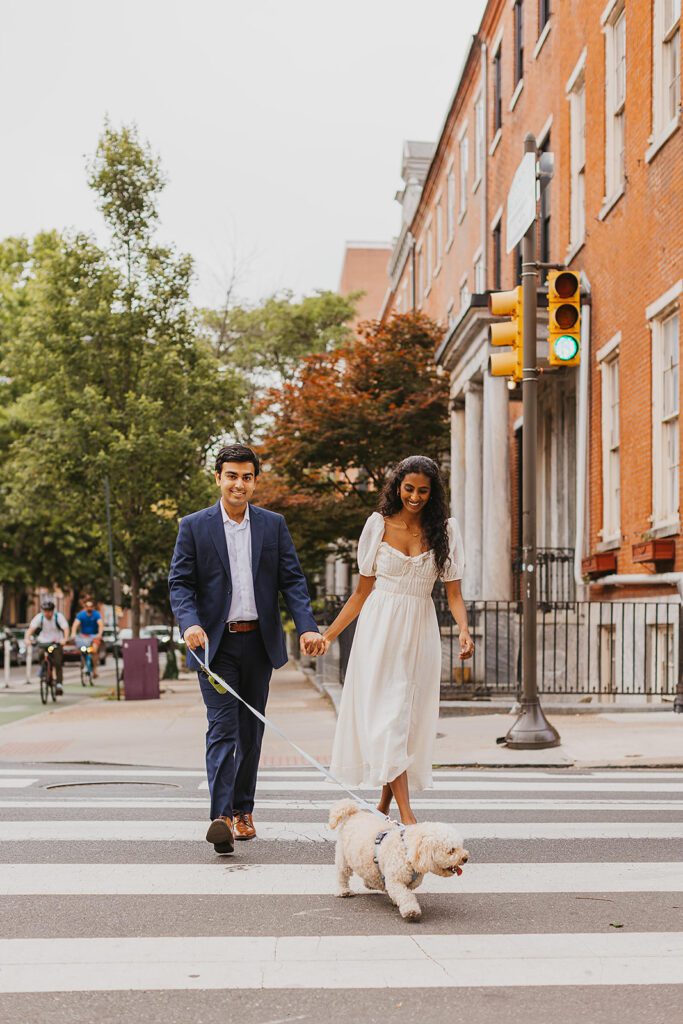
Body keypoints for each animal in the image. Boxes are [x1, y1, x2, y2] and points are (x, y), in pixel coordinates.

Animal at [327, 798, 466, 921]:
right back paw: (344, 890)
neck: (408, 852)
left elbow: (404, 893)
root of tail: (354, 813)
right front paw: (411, 910)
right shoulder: (395, 880)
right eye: (451, 850)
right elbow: (405, 896)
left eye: (461, 846)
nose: (465, 858)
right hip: (343, 857)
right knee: (342, 874)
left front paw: (397, 902)